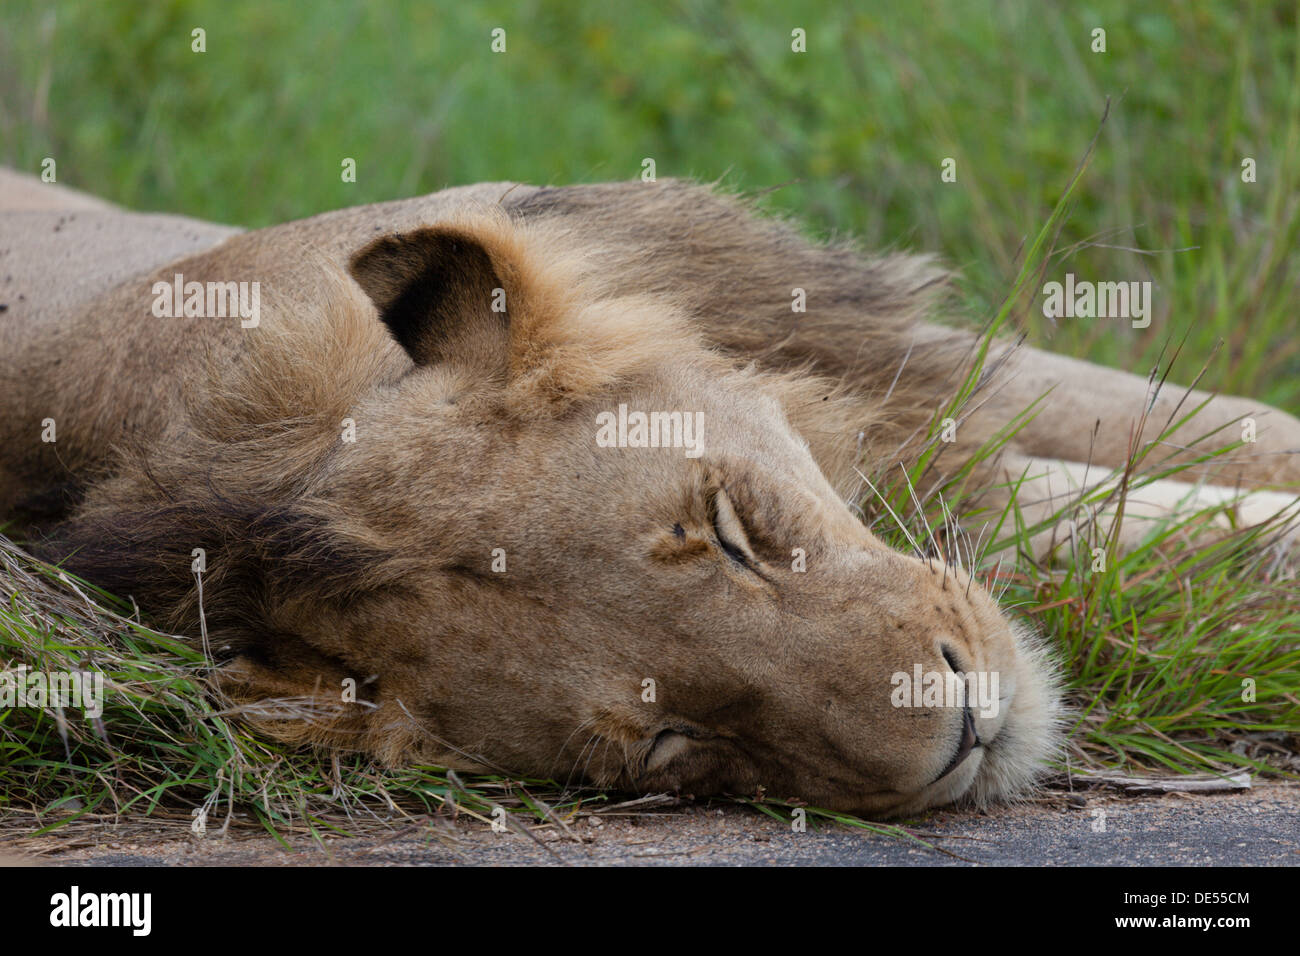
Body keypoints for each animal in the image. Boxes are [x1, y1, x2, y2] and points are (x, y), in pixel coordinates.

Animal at [2, 169, 1297, 818]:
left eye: (730, 528)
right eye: (671, 743)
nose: (966, 731)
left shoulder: (902, 354)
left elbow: (1228, 427)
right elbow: (1128, 520)